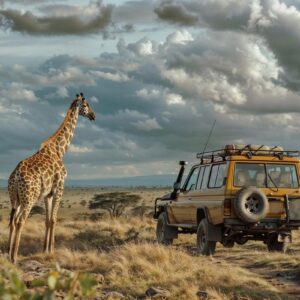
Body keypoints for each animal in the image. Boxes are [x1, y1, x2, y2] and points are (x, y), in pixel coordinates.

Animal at [7, 93, 95, 262]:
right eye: (86, 104)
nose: (93, 116)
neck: (59, 150)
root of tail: (15, 178)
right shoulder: (59, 188)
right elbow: (54, 219)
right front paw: (52, 250)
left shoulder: (48, 194)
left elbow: (47, 220)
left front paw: (44, 249)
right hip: (29, 198)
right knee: (20, 221)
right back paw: (14, 257)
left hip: (15, 199)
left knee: (13, 221)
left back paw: (7, 253)